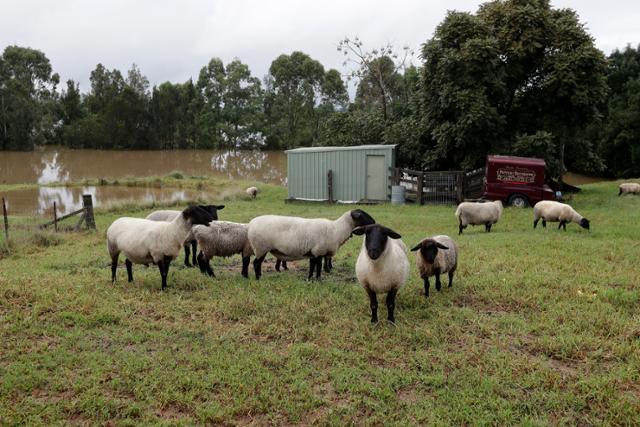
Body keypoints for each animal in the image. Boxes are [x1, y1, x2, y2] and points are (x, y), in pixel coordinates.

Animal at [246, 210, 376, 280]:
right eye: (363, 215)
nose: (374, 222)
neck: (337, 229)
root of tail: (250, 224)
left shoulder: (314, 252)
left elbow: (312, 267)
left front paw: (309, 279)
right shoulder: (319, 251)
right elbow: (318, 267)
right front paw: (318, 279)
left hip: (261, 248)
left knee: (257, 263)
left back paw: (259, 276)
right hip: (261, 247)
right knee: (256, 263)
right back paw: (258, 278)